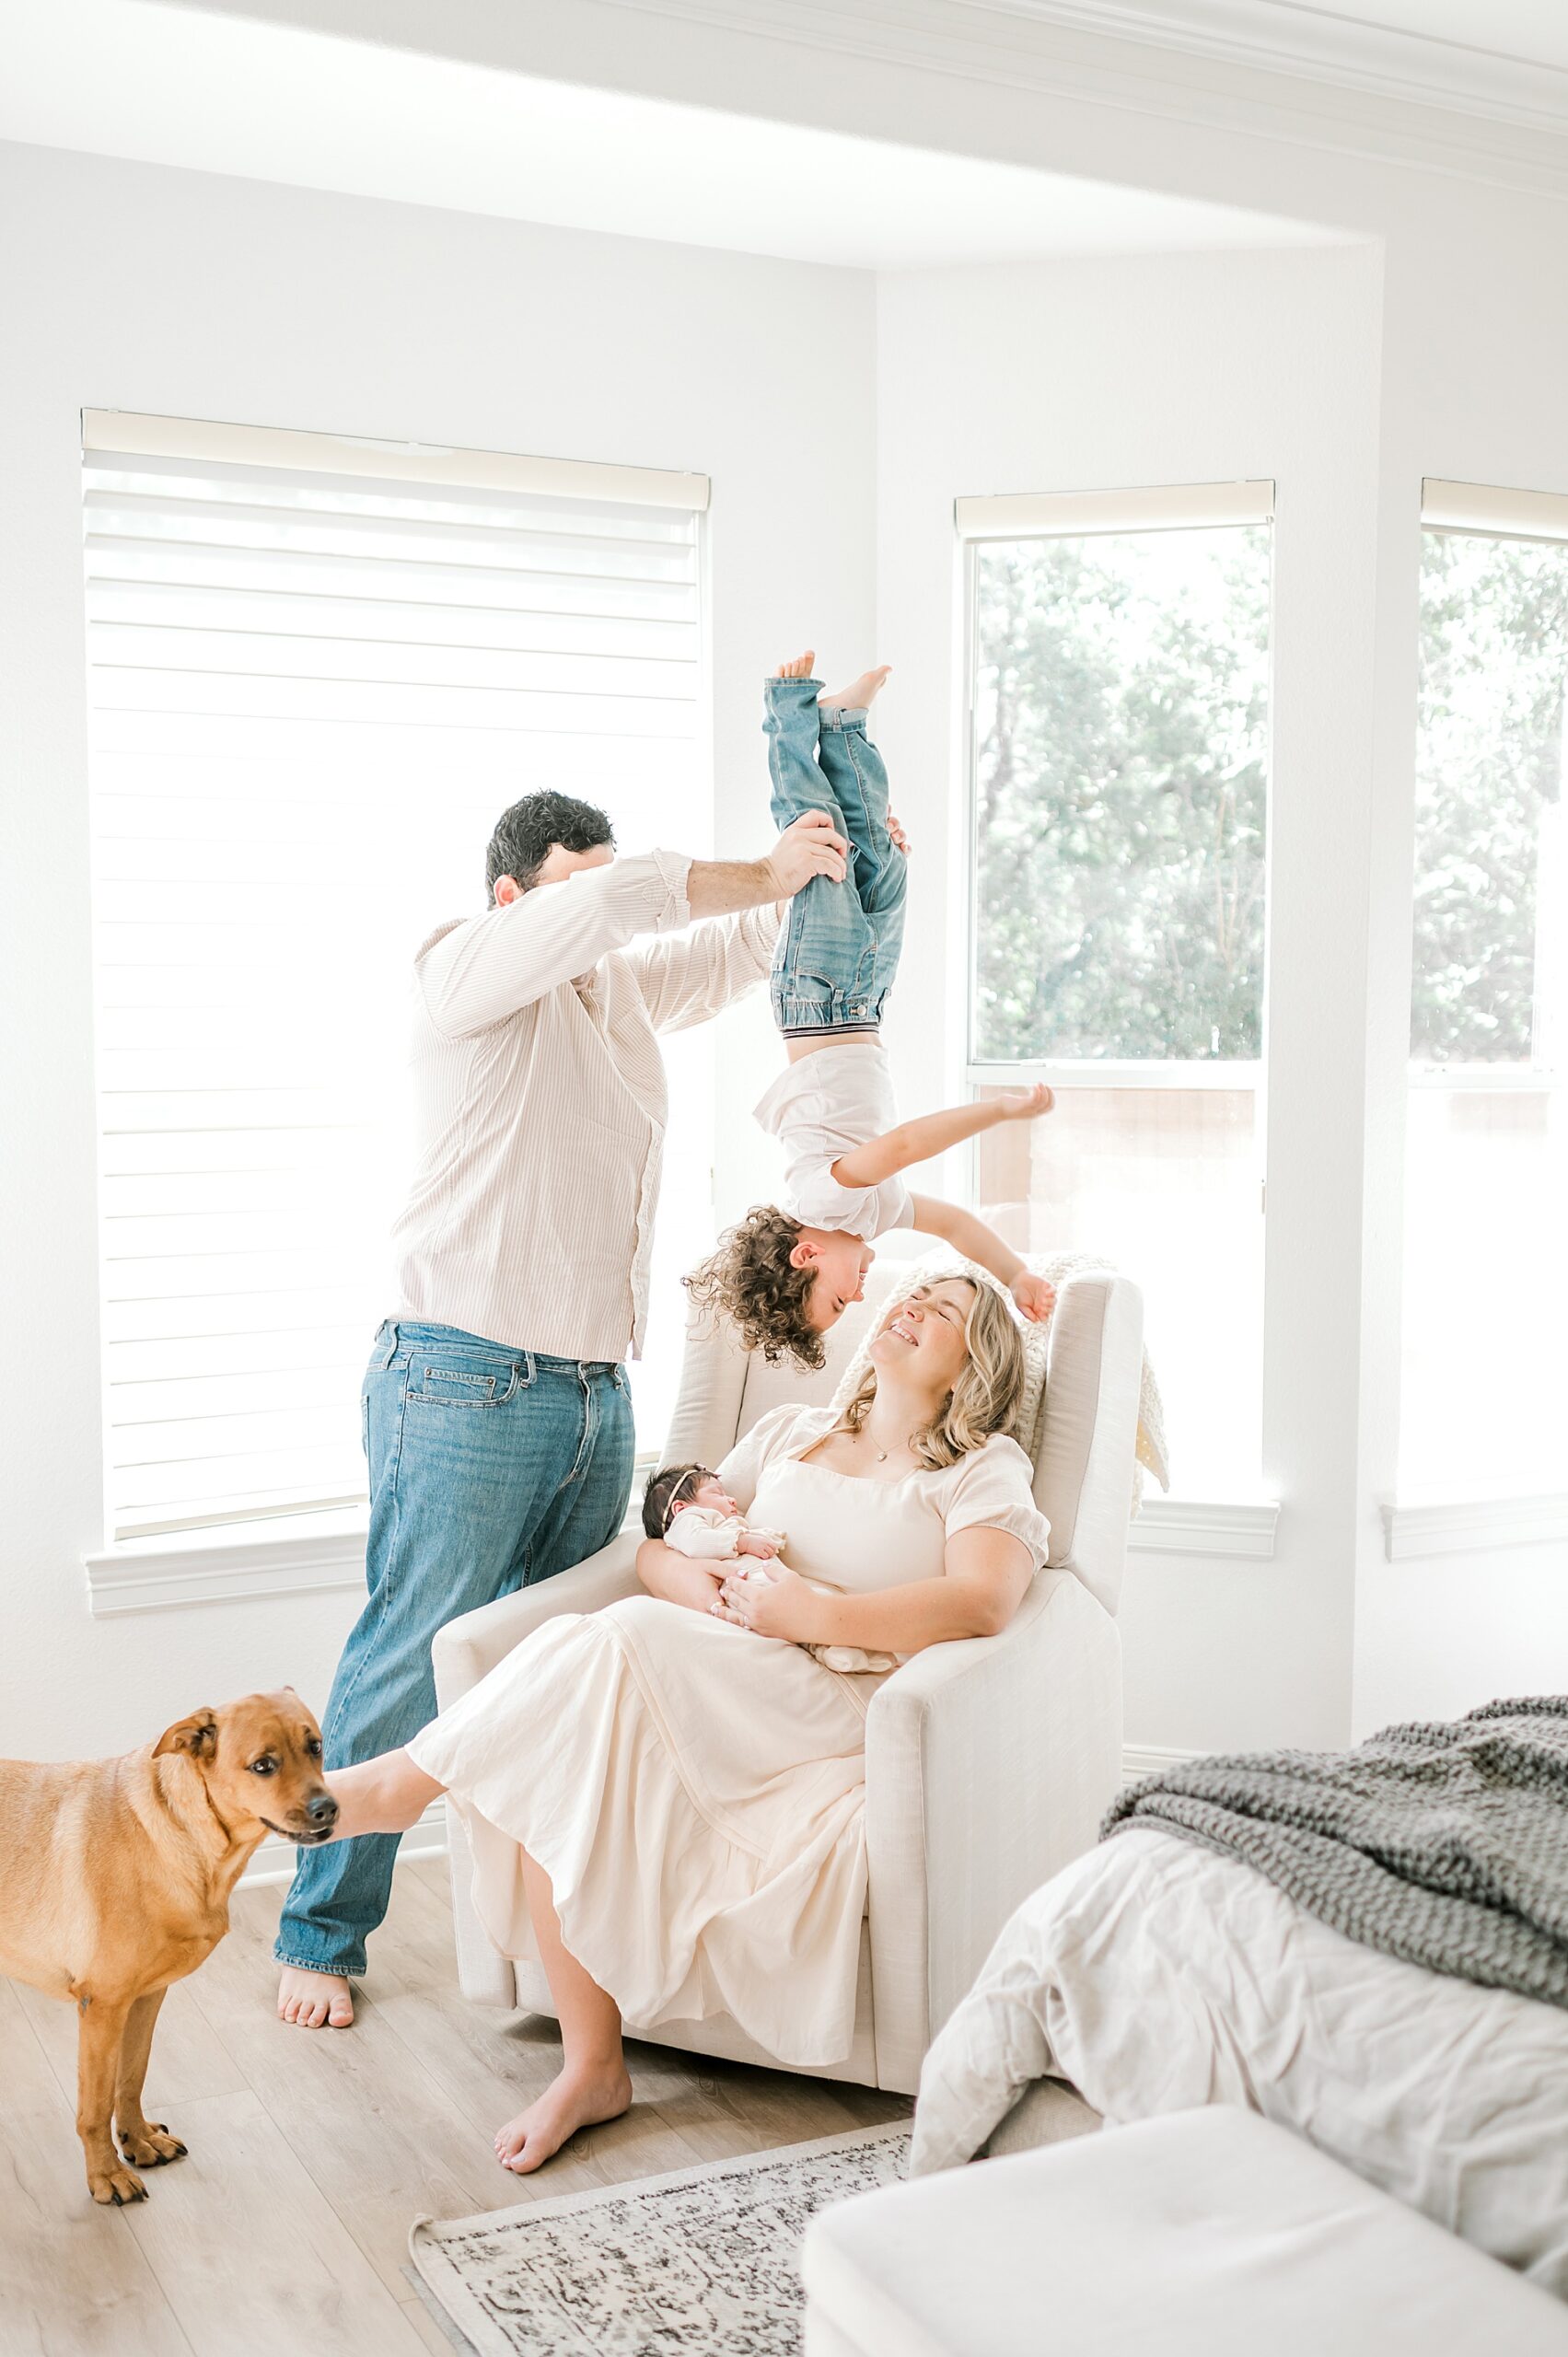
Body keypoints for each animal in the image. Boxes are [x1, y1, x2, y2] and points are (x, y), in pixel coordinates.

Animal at [0, 1697, 332, 2206]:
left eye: (315, 1746)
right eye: (263, 1766)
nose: (329, 1808)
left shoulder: (146, 1997)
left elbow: (131, 2078)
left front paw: (136, 2140)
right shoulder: (102, 2008)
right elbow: (94, 2106)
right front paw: (105, 2175)